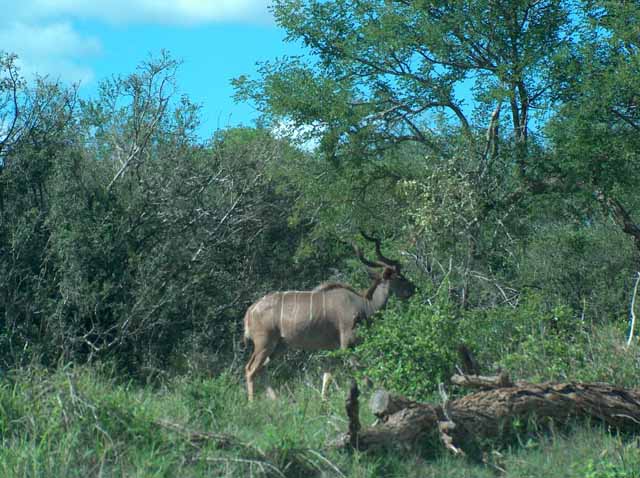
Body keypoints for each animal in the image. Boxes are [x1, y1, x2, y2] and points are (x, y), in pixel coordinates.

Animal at [243, 234, 415, 401]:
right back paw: (251, 404)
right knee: (250, 369)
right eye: (400, 277)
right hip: (264, 343)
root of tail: (250, 311)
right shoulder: (347, 343)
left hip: (279, 346)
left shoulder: (334, 348)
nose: (413, 289)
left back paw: (275, 401)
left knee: (263, 368)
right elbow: (359, 370)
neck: (364, 303)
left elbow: (328, 375)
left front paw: (324, 401)